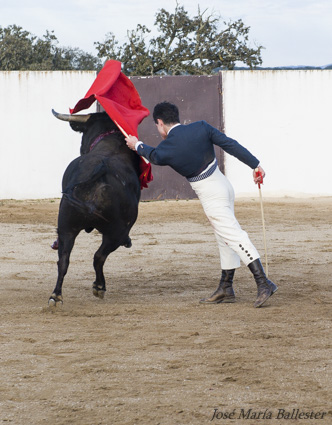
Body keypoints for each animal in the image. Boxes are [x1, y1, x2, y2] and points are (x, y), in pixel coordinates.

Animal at [49, 109, 141, 304]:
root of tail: (99, 170)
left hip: (67, 226)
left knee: (63, 260)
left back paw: (56, 296)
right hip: (116, 232)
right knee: (99, 256)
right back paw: (99, 286)